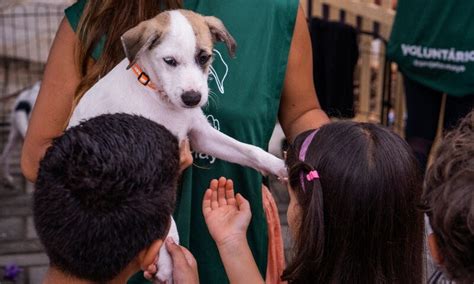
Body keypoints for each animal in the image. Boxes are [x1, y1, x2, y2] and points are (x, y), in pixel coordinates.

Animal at [67, 8, 286, 282]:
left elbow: (249, 150)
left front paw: (281, 166)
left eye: (204, 57)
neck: (158, 97)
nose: (192, 98)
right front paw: (167, 260)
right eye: (169, 61)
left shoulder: (201, 134)